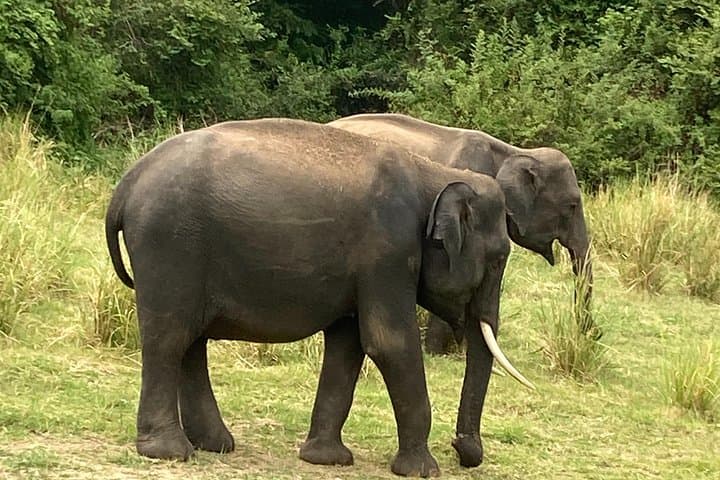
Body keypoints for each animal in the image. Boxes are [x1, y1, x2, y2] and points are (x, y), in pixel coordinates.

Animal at [105, 118, 532, 477]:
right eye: (498, 259)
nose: (462, 449)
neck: (434, 174)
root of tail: (126, 183)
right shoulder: (388, 251)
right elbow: (388, 342)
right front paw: (423, 471)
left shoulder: (366, 267)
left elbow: (347, 344)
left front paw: (326, 459)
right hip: (169, 246)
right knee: (169, 338)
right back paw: (169, 452)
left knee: (192, 341)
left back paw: (216, 445)